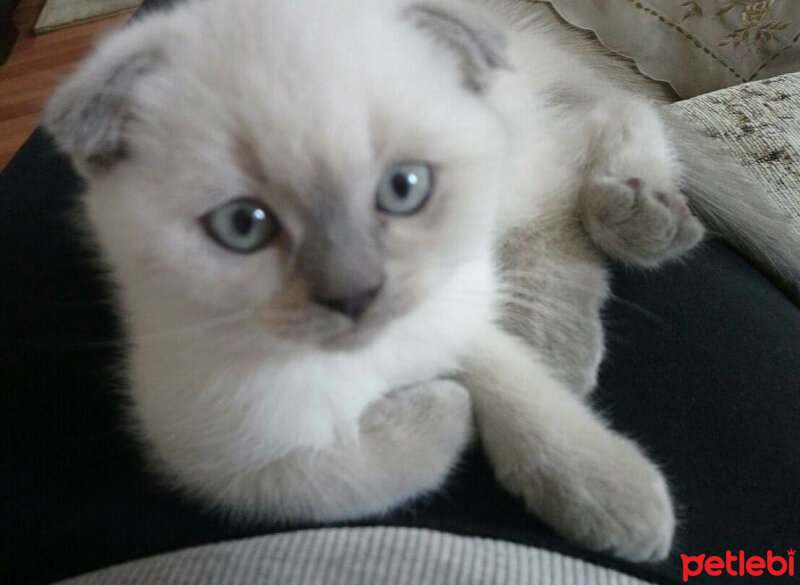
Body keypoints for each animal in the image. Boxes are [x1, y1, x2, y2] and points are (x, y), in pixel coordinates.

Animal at [43, 0, 800, 560]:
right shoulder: (205, 441)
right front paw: (440, 409)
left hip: (508, 165)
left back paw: (624, 236)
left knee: (606, 124)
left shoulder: (446, 307)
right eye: (243, 225)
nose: (354, 295)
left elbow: (515, 391)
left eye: (403, 188)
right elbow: (315, 480)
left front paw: (608, 493)